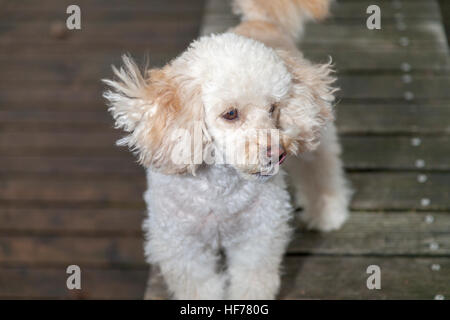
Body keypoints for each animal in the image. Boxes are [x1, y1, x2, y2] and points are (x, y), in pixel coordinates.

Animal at [103, 0, 352, 300]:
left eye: (273, 108)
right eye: (230, 114)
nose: (278, 153)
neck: (220, 190)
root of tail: (259, 21)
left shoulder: (259, 236)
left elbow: (251, 283)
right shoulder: (180, 245)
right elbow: (200, 287)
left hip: (314, 137)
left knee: (322, 167)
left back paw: (328, 212)